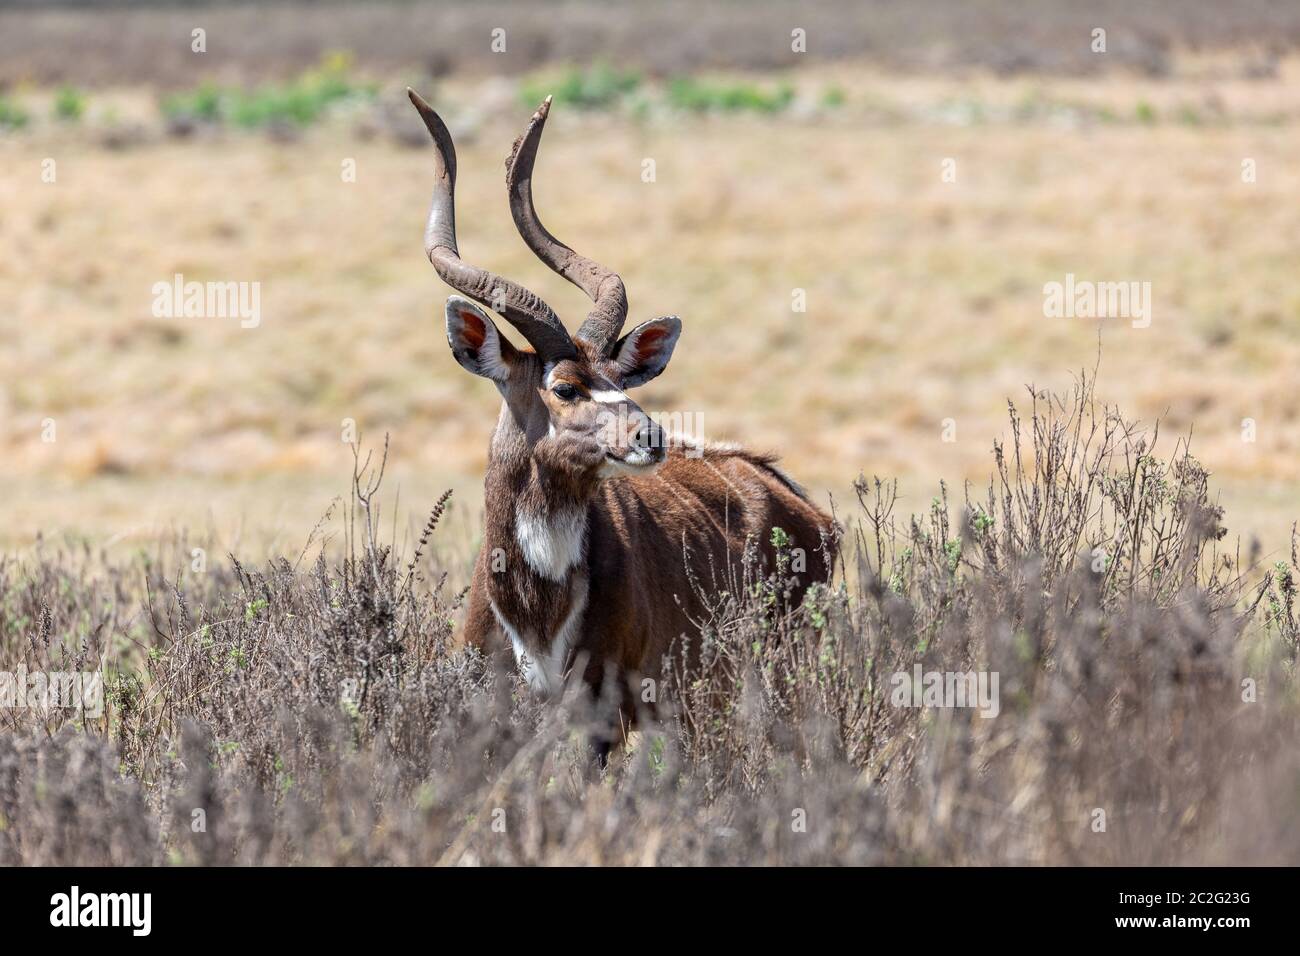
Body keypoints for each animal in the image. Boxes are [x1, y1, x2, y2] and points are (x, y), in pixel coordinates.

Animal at [405, 89, 832, 754]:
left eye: (622, 378)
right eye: (564, 386)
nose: (649, 437)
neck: (535, 607)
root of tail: (802, 506)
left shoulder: (603, 714)